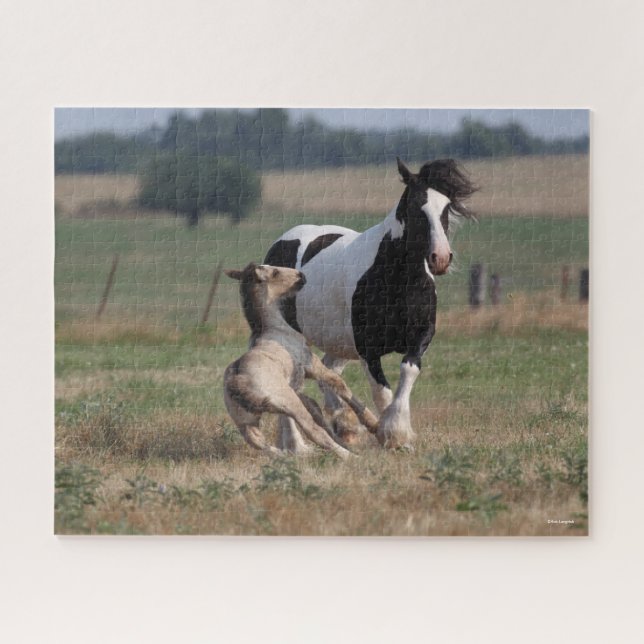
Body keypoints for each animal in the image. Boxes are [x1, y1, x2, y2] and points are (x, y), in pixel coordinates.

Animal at [223, 262, 379, 459]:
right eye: (275, 272)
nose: (301, 276)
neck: (277, 329)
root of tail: (237, 380)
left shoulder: (297, 387)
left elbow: (315, 407)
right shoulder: (312, 366)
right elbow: (338, 384)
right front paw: (373, 424)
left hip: (245, 422)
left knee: (259, 443)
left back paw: (286, 456)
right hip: (290, 403)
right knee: (313, 430)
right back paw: (350, 456)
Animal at [263, 158, 476, 449]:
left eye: (446, 206)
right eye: (414, 206)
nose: (440, 258)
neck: (397, 279)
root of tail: (281, 242)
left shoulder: (421, 336)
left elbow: (408, 370)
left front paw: (398, 434)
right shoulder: (368, 348)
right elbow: (382, 392)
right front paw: (391, 436)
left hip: (339, 343)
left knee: (329, 371)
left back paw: (343, 425)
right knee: (294, 383)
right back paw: (296, 445)